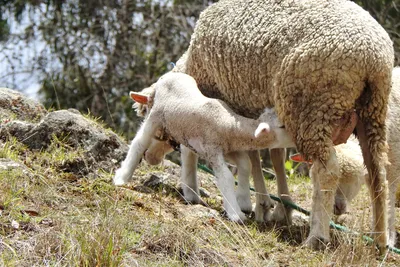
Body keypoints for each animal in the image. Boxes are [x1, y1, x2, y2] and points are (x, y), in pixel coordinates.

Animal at [175, 0, 394, 253]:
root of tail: (373, 55)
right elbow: (272, 156)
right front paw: (277, 207)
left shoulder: (232, 105)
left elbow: (248, 155)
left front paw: (259, 205)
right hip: (373, 111)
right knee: (378, 175)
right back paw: (380, 241)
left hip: (312, 107)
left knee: (327, 170)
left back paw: (317, 237)